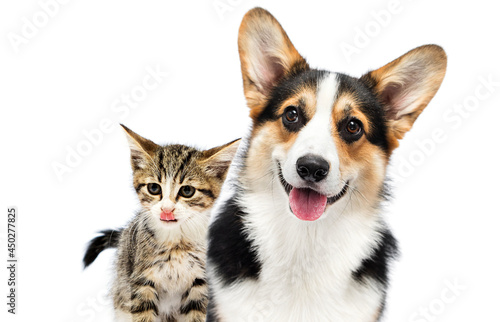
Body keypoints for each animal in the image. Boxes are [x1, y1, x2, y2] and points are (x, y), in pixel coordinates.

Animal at [84, 125, 240, 322]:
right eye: (154, 188)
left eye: (187, 191)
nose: (167, 209)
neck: (176, 244)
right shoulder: (142, 282)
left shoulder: (200, 285)